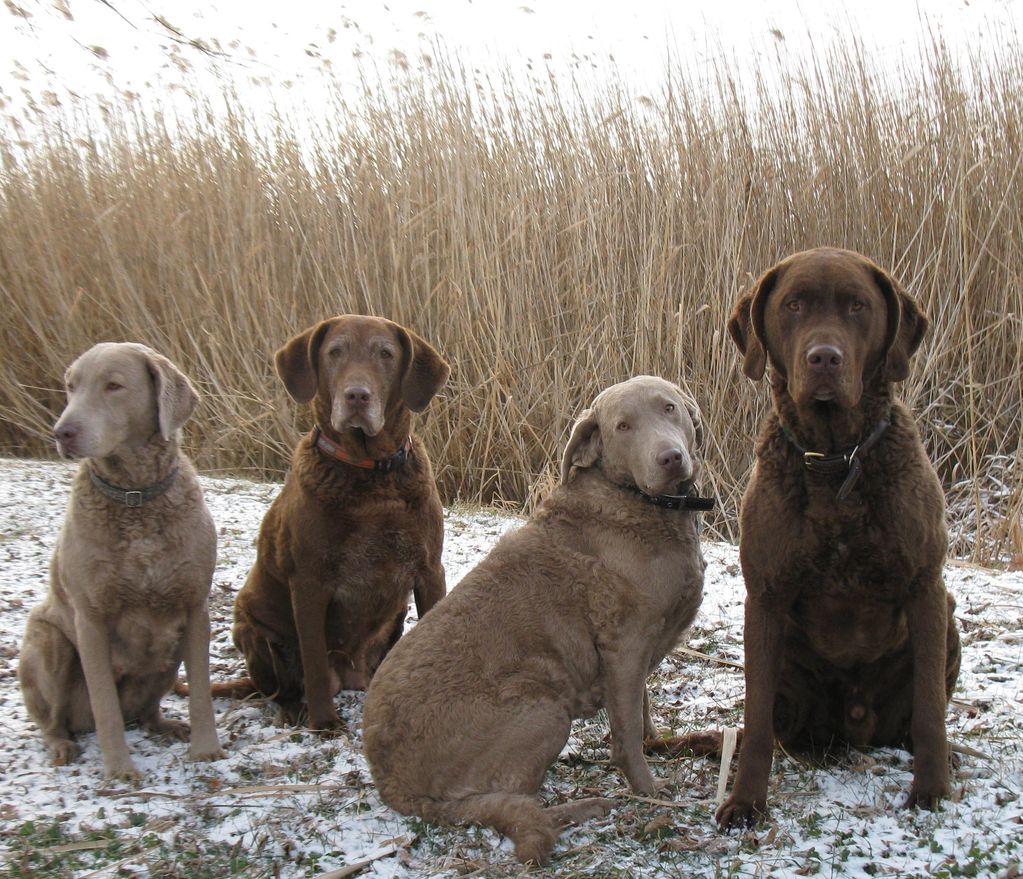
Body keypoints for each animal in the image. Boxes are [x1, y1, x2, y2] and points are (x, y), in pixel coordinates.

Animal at [16, 339, 224, 781]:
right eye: (71, 386)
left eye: (114, 386)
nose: (61, 432)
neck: (137, 497)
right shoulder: (90, 618)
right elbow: (104, 705)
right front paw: (119, 769)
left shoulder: (194, 606)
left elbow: (200, 691)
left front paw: (206, 749)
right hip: (49, 643)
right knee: (55, 720)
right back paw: (62, 745)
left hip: (168, 654)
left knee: (146, 711)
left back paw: (167, 725)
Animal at [230, 315, 450, 728]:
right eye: (334, 352)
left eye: (385, 354)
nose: (357, 396)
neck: (370, 473)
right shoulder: (309, 580)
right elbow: (315, 659)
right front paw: (324, 723)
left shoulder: (430, 568)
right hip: (253, 627)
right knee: (282, 687)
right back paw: (295, 710)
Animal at [364, 374, 716, 863]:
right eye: (623, 426)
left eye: (669, 408)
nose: (670, 457)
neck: (635, 505)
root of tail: (390, 783)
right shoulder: (624, 645)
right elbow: (626, 735)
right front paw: (648, 789)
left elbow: (641, 711)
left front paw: (655, 743)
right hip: (544, 709)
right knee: (512, 802)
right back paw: (582, 808)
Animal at [716, 249, 961, 830]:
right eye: (793, 305)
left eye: (857, 306)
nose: (823, 358)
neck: (836, 460)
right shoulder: (765, 596)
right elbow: (755, 725)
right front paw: (746, 801)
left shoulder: (926, 585)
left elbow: (930, 713)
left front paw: (931, 790)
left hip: (949, 618)